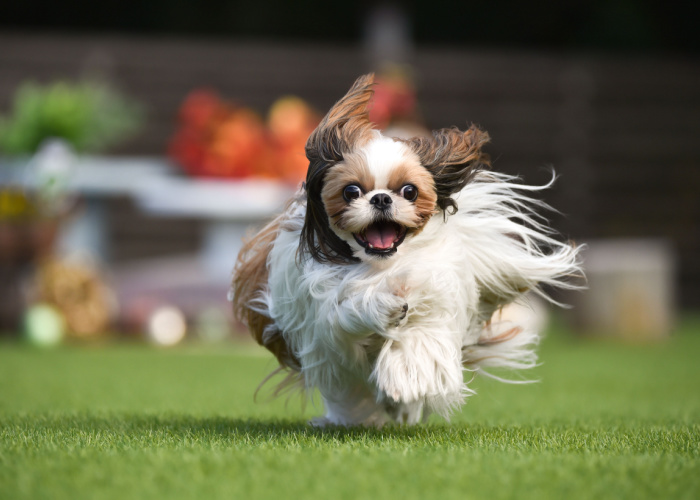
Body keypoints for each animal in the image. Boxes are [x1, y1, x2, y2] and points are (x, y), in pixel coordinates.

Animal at [232, 74, 584, 426]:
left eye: (409, 191)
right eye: (351, 191)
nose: (381, 198)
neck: (381, 267)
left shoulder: (435, 295)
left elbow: (418, 336)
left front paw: (403, 377)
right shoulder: (323, 314)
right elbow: (348, 311)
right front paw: (385, 307)